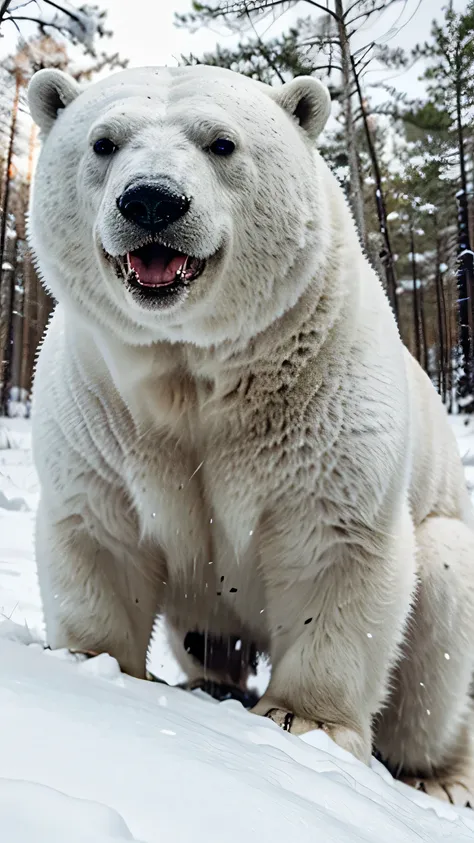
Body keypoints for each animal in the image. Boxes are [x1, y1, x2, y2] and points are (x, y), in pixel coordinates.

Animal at [28, 64, 474, 804]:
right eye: (103, 141)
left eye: (222, 143)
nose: (152, 201)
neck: (199, 372)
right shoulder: (103, 405)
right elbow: (102, 531)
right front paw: (95, 664)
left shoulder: (326, 399)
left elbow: (333, 545)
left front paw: (304, 721)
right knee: (208, 635)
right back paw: (210, 682)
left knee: (439, 628)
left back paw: (438, 778)